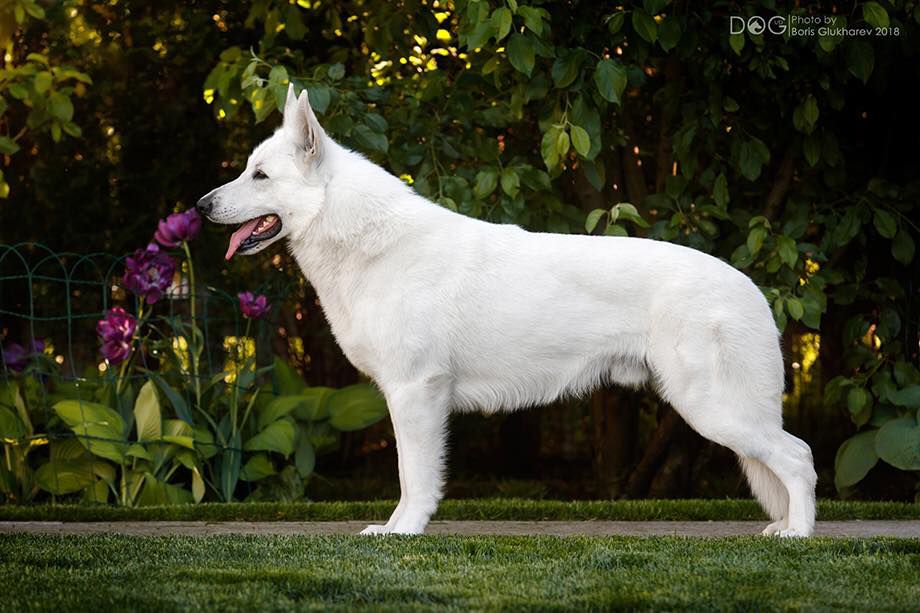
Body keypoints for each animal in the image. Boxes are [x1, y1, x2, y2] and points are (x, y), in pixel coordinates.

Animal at [198, 86, 816, 536]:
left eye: (260, 176)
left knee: (800, 458)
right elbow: (412, 476)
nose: (200, 206)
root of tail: (751, 289)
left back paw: (798, 536)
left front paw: (403, 533)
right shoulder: (413, 396)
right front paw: (398, 529)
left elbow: (413, 476)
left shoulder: (415, 393)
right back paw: (785, 529)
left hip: (712, 407)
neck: (367, 241)